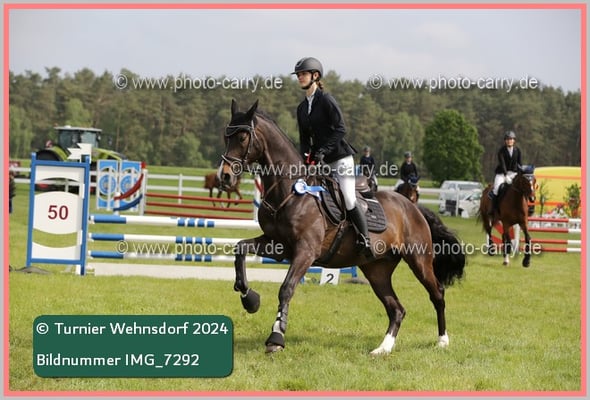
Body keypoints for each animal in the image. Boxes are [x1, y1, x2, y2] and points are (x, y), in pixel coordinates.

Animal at [219, 99, 465, 355]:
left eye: (243, 137)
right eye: (226, 136)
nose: (224, 177)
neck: (290, 191)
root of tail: (414, 207)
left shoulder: (306, 251)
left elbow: (286, 288)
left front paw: (276, 338)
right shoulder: (277, 245)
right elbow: (240, 249)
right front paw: (250, 299)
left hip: (419, 260)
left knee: (437, 294)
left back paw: (442, 340)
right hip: (377, 269)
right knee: (396, 308)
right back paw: (383, 349)